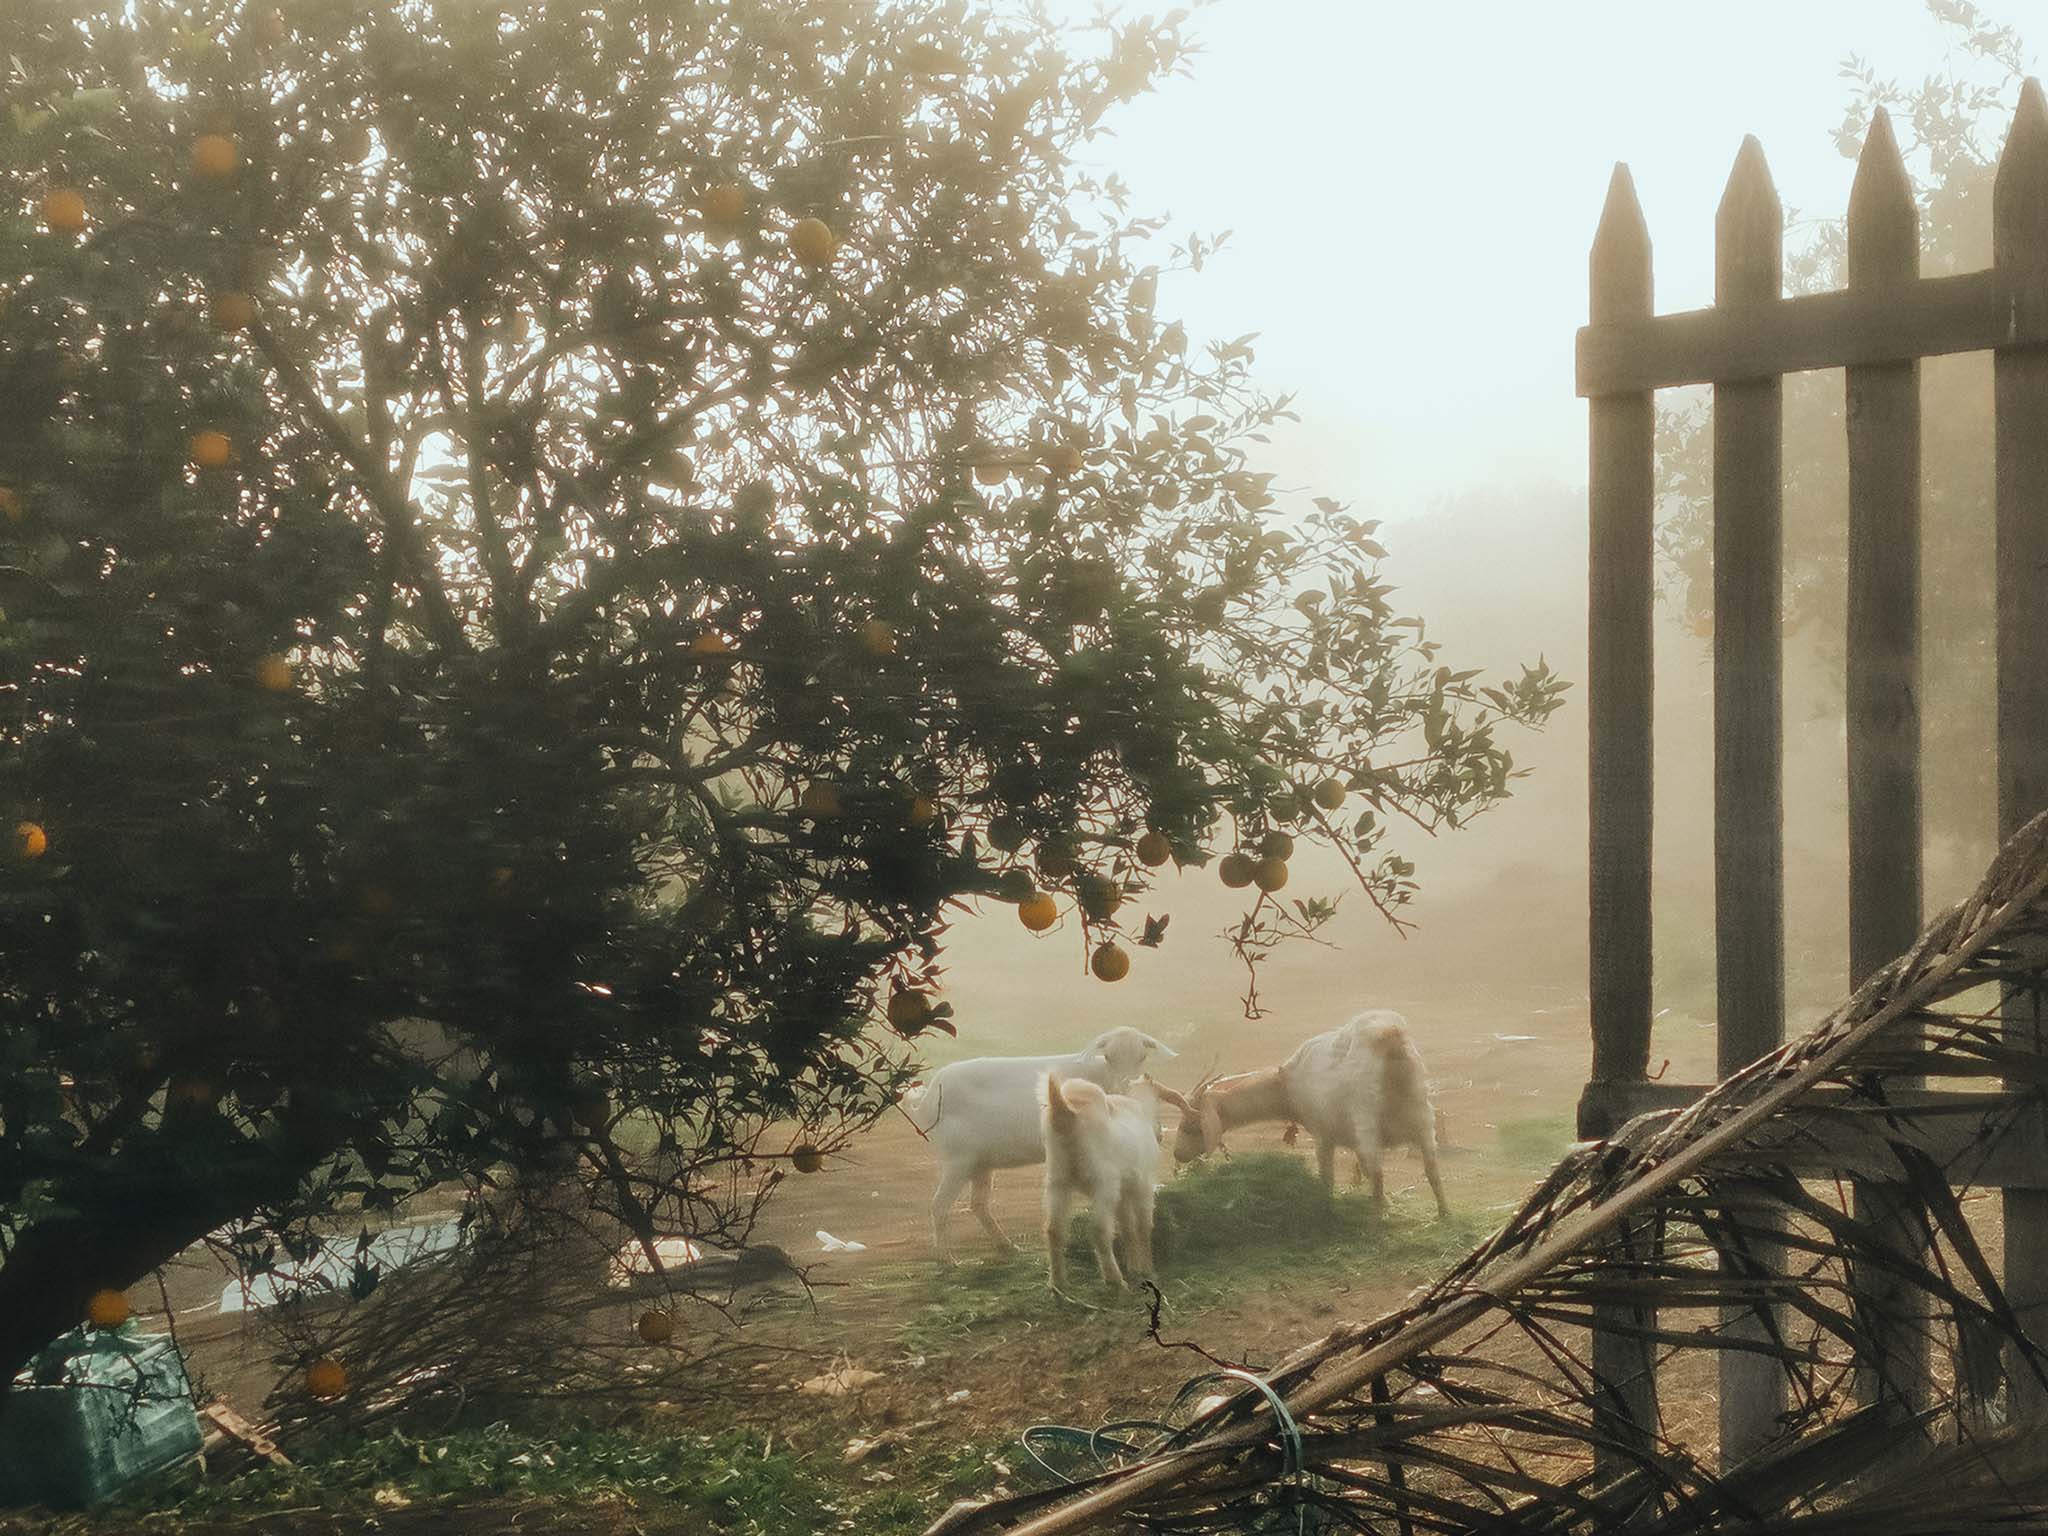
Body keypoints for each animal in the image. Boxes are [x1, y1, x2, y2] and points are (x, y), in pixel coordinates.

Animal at [909, 1028, 1179, 1269]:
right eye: (1109, 1057)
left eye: (1142, 1057)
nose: (1127, 1083)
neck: (1101, 1076)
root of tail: (927, 1100)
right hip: (958, 1158)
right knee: (939, 1205)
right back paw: (947, 1259)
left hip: (980, 1161)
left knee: (979, 1204)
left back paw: (1007, 1246)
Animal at [1040, 1073, 1171, 1302]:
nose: (1160, 1134)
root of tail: (1064, 1111)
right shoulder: (1143, 1185)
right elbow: (1143, 1225)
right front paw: (1148, 1270)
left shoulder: (1122, 1193)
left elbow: (1127, 1227)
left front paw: (1135, 1267)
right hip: (1103, 1182)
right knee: (1099, 1229)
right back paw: (1115, 1281)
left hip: (1058, 1181)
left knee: (1054, 1230)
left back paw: (1058, 1285)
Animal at [1171, 1015, 1441, 1220]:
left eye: (1191, 1125)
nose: (1177, 1155)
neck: (1286, 1086)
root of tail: (1388, 1037)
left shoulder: (1323, 1135)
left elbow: (1327, 1179)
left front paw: (1327, 1209)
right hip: (1422, 1117)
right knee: (1431, 1169)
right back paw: (1444, 1215)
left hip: (1366, 1117)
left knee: (1377, 1174)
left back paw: (1378, 1218)